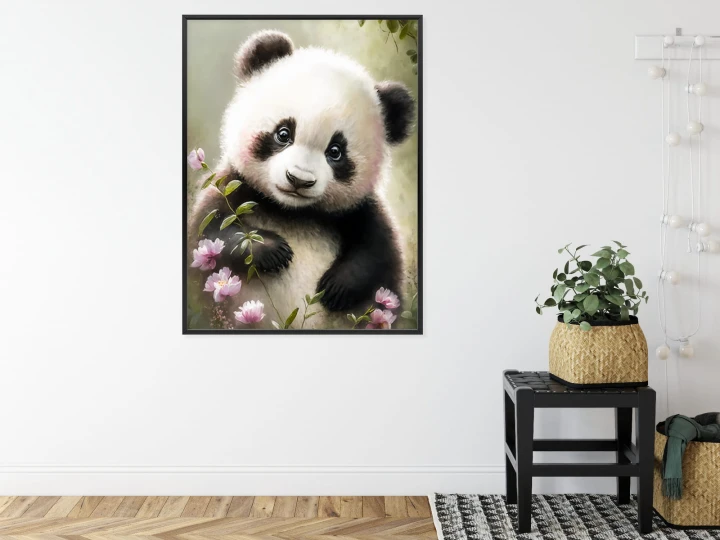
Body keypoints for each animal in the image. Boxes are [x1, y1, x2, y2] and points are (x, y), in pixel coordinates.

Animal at [189, 30, 415, 329]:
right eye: (283, 133)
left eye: (336, 151)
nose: (298, 179)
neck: (293, 212)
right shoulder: (233, 188)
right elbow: (210, 234)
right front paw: (272, 250)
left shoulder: (358, 211)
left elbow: (378, 254)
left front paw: (337, 286)